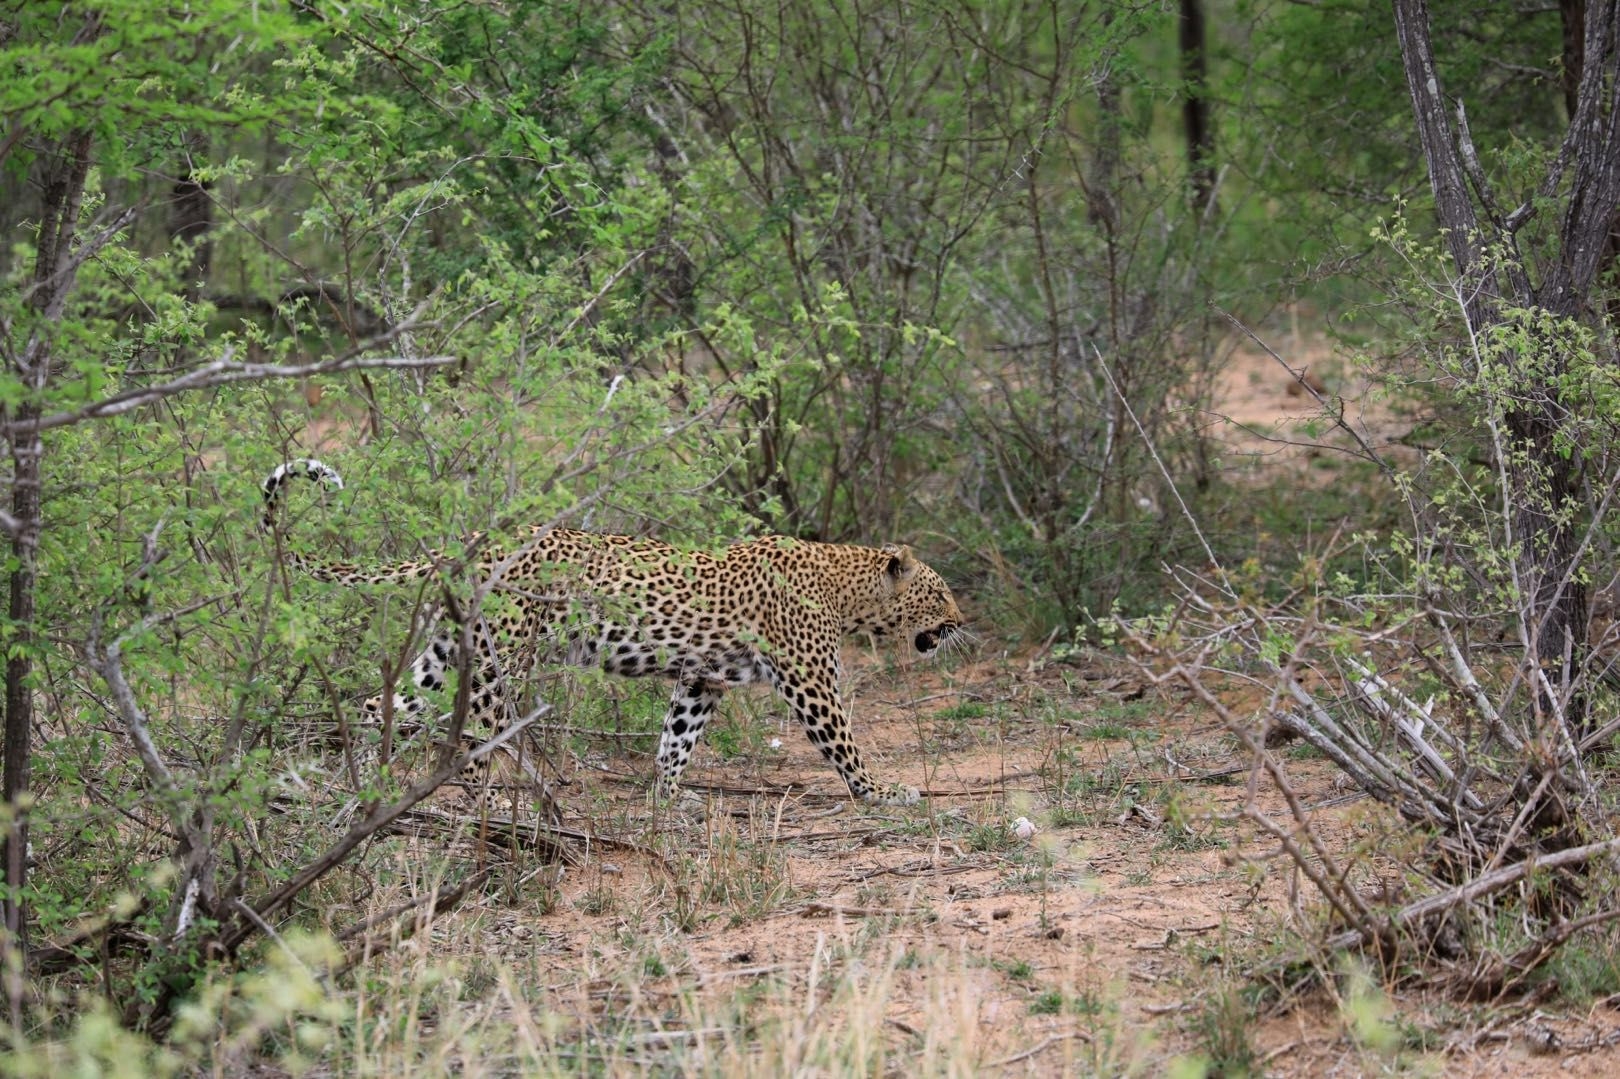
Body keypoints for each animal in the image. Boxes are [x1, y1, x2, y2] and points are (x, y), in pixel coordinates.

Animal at [264, 456, 959, 803]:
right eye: (940, 592)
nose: (959, 623)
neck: (847, 586)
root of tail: (467, 543)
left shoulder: (700, 680)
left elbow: (677, 739)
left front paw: (668, 797)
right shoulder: (809, 682)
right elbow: (844, 742)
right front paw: (882, 792)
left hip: (442, 657)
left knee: (376, 706)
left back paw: (348, 788)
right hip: (498, 661)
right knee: (479, 739)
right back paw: (501, 808)